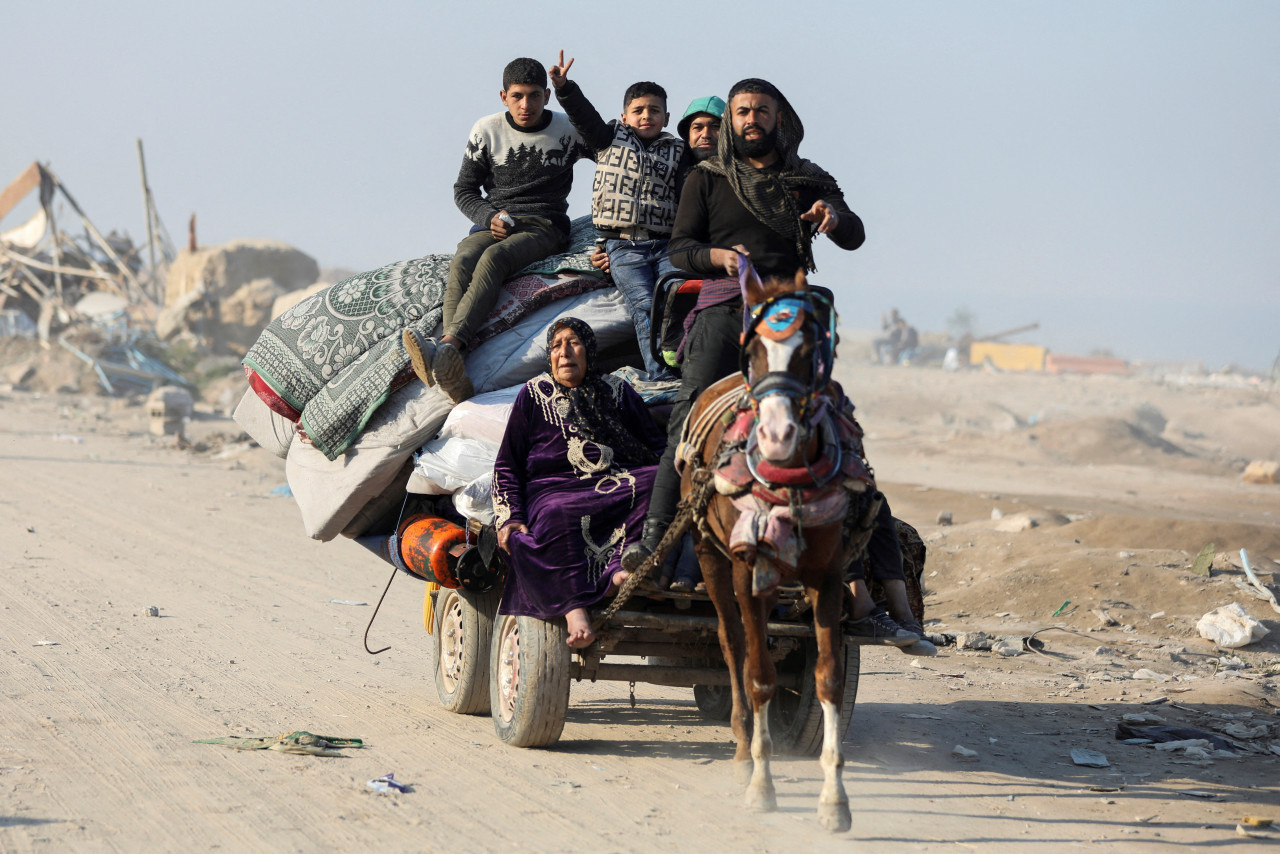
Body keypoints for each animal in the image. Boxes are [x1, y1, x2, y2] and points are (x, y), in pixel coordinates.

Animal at [670, 263, 880, 829]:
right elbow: (759, 675)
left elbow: (829, 679)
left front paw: (835, 803)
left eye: (812, 350)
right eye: (756, 352)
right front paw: (761, 787)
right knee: (734, 645)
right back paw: (744, 748)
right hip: (712, 559)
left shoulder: (828, 576)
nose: (778, 433)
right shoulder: (751, 572)